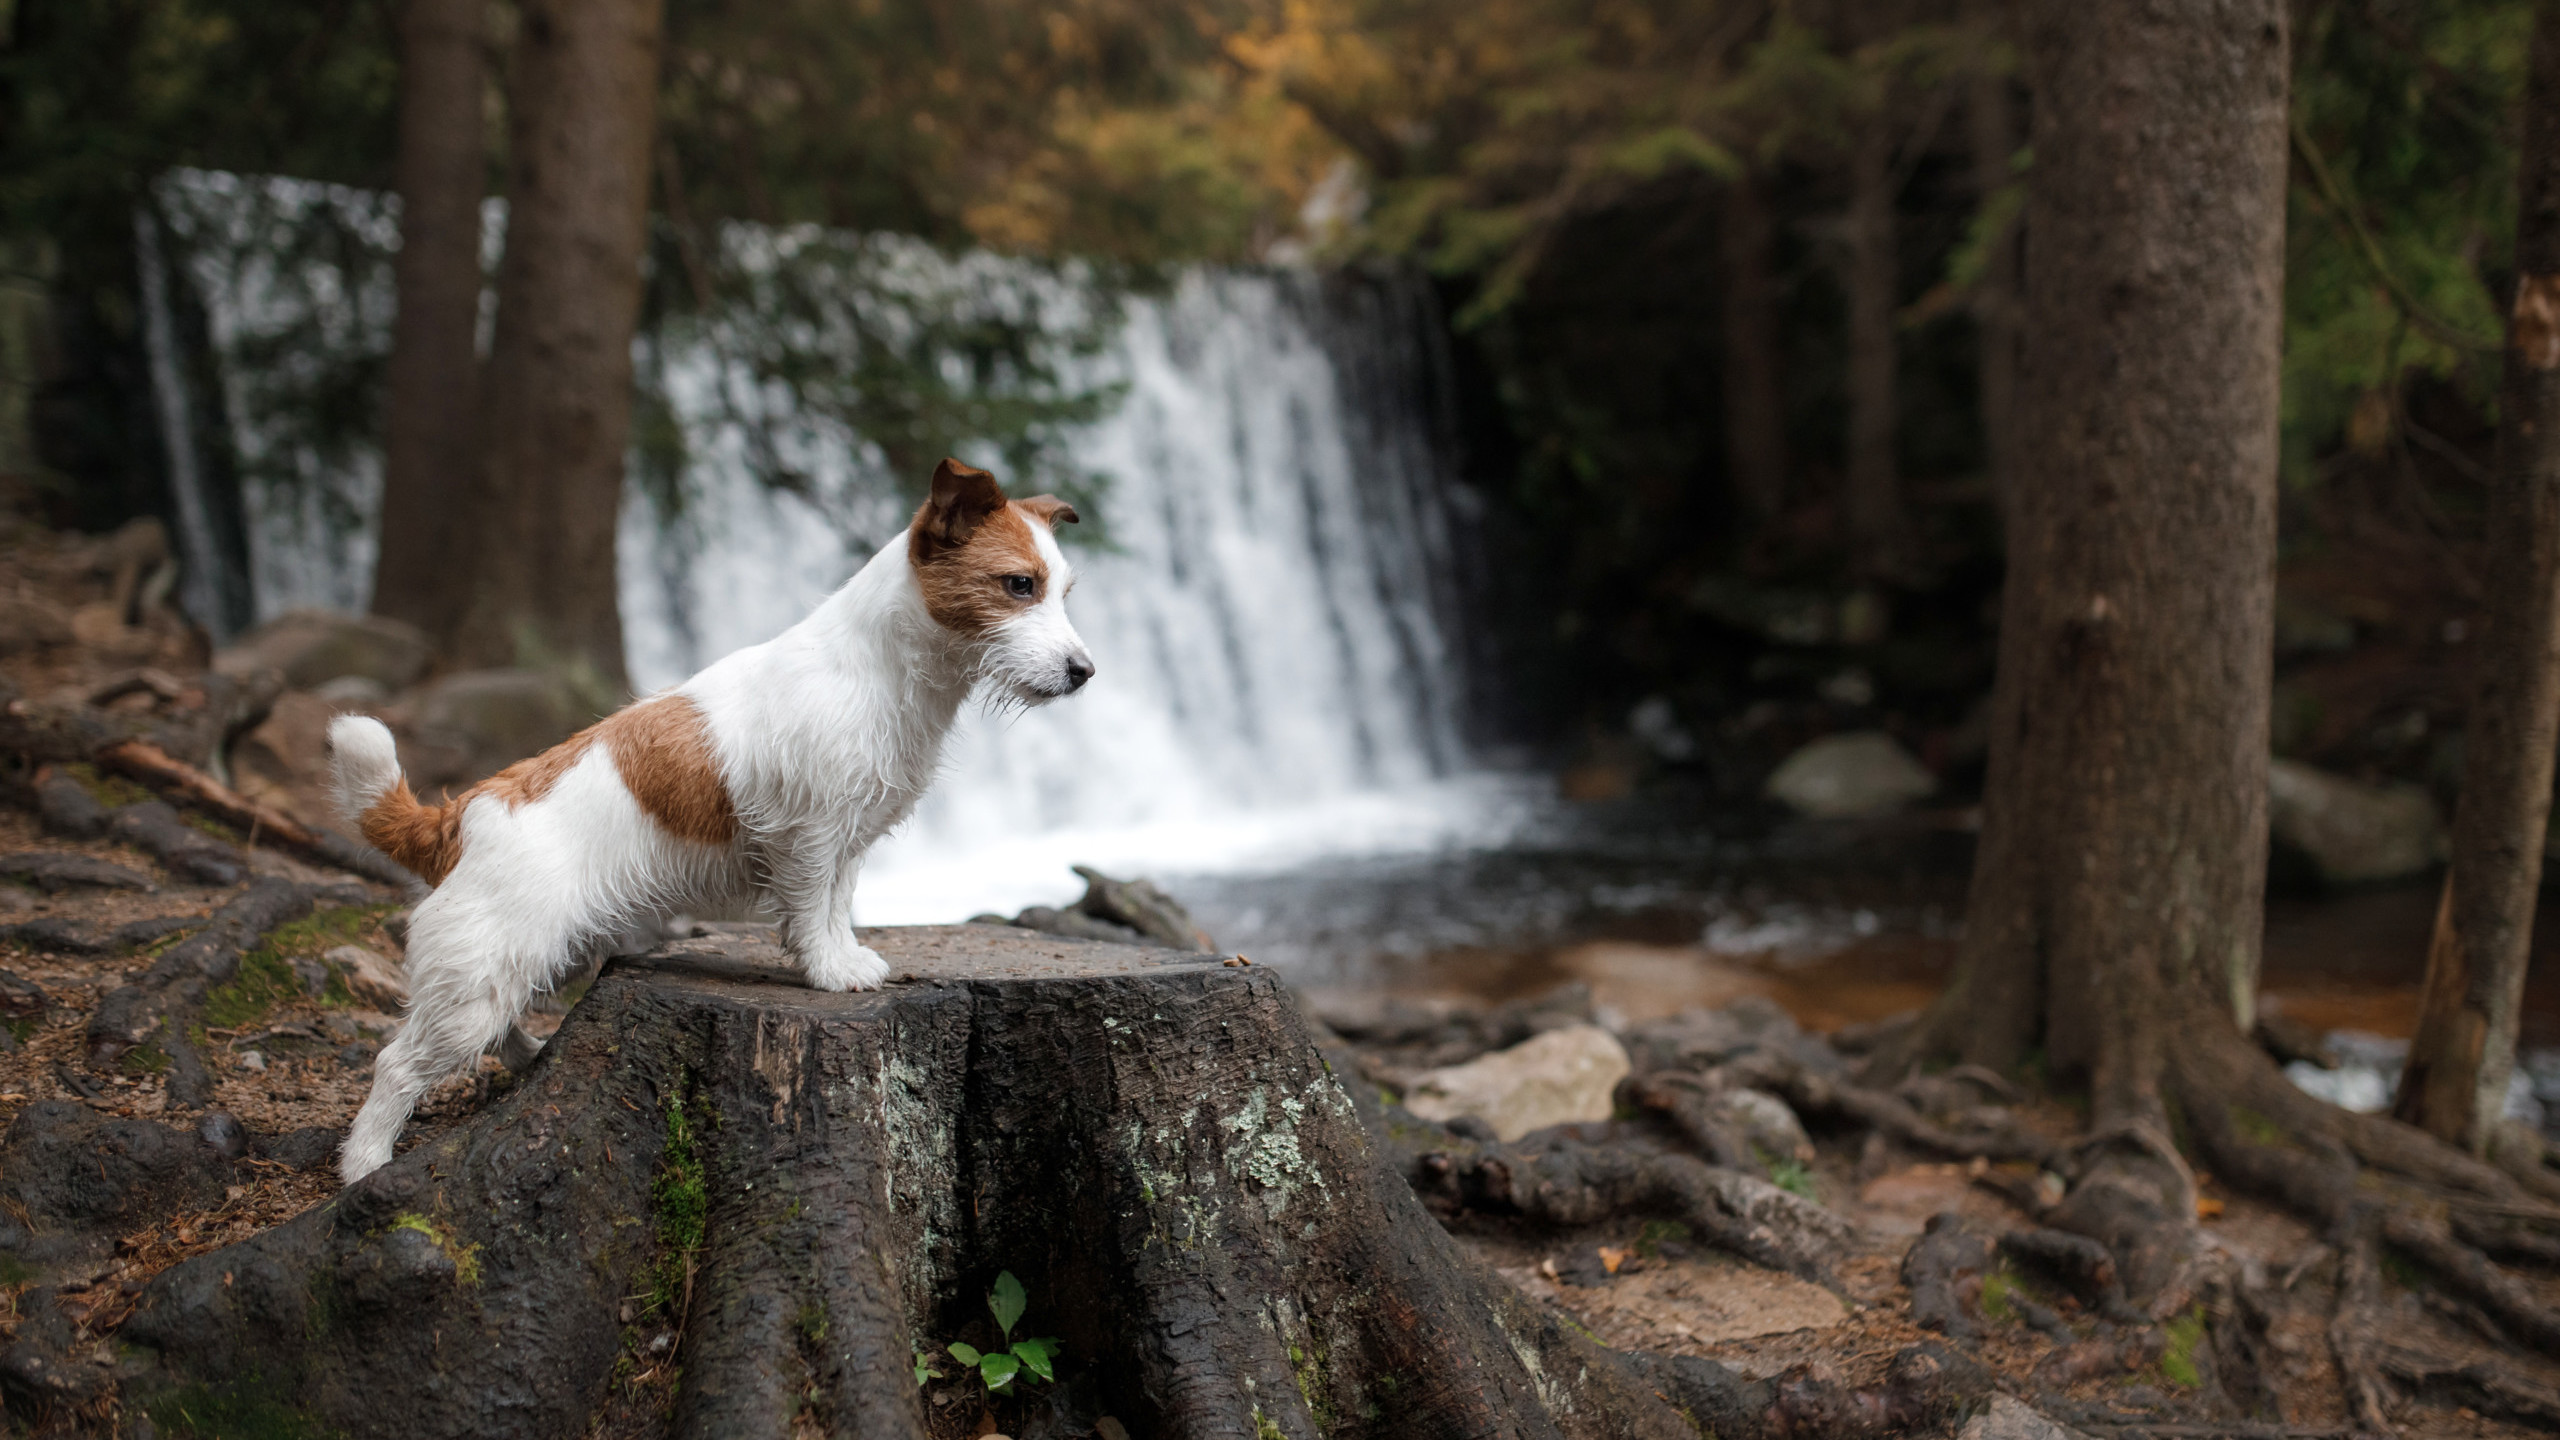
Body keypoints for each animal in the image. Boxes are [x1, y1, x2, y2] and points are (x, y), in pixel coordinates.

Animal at [325, 456, 1085, 1178]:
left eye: (1065, 592)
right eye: (1019, 585)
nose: (1085, 672)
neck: (876, 668)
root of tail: (456, 819)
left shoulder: (847, 841)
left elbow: (837, 907)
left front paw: (846, 957)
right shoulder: (810, 838)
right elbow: (812, 910)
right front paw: (828, 973)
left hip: (525, 960)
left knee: (501, 1026)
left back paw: (532, 1054)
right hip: (478, 974)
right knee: (397, 1065)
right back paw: (364, 1166)